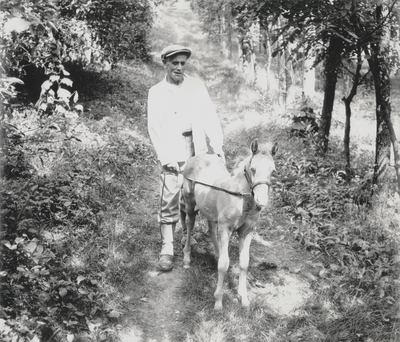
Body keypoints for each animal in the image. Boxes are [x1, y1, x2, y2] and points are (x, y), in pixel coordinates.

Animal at [180, 139, 276, 310]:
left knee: (211, 228)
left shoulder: (247, 231)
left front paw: (243, 299)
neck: (241, 198)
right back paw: (187, 258)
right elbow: (224, 265)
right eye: (253, 169)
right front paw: (218, 301)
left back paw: (217, 254)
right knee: (190, 224)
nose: (262, 201)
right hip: (190, 203)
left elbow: (244, 263)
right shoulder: (226, 228)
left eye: (273, 171)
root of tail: (196, 157)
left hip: (210, 209)